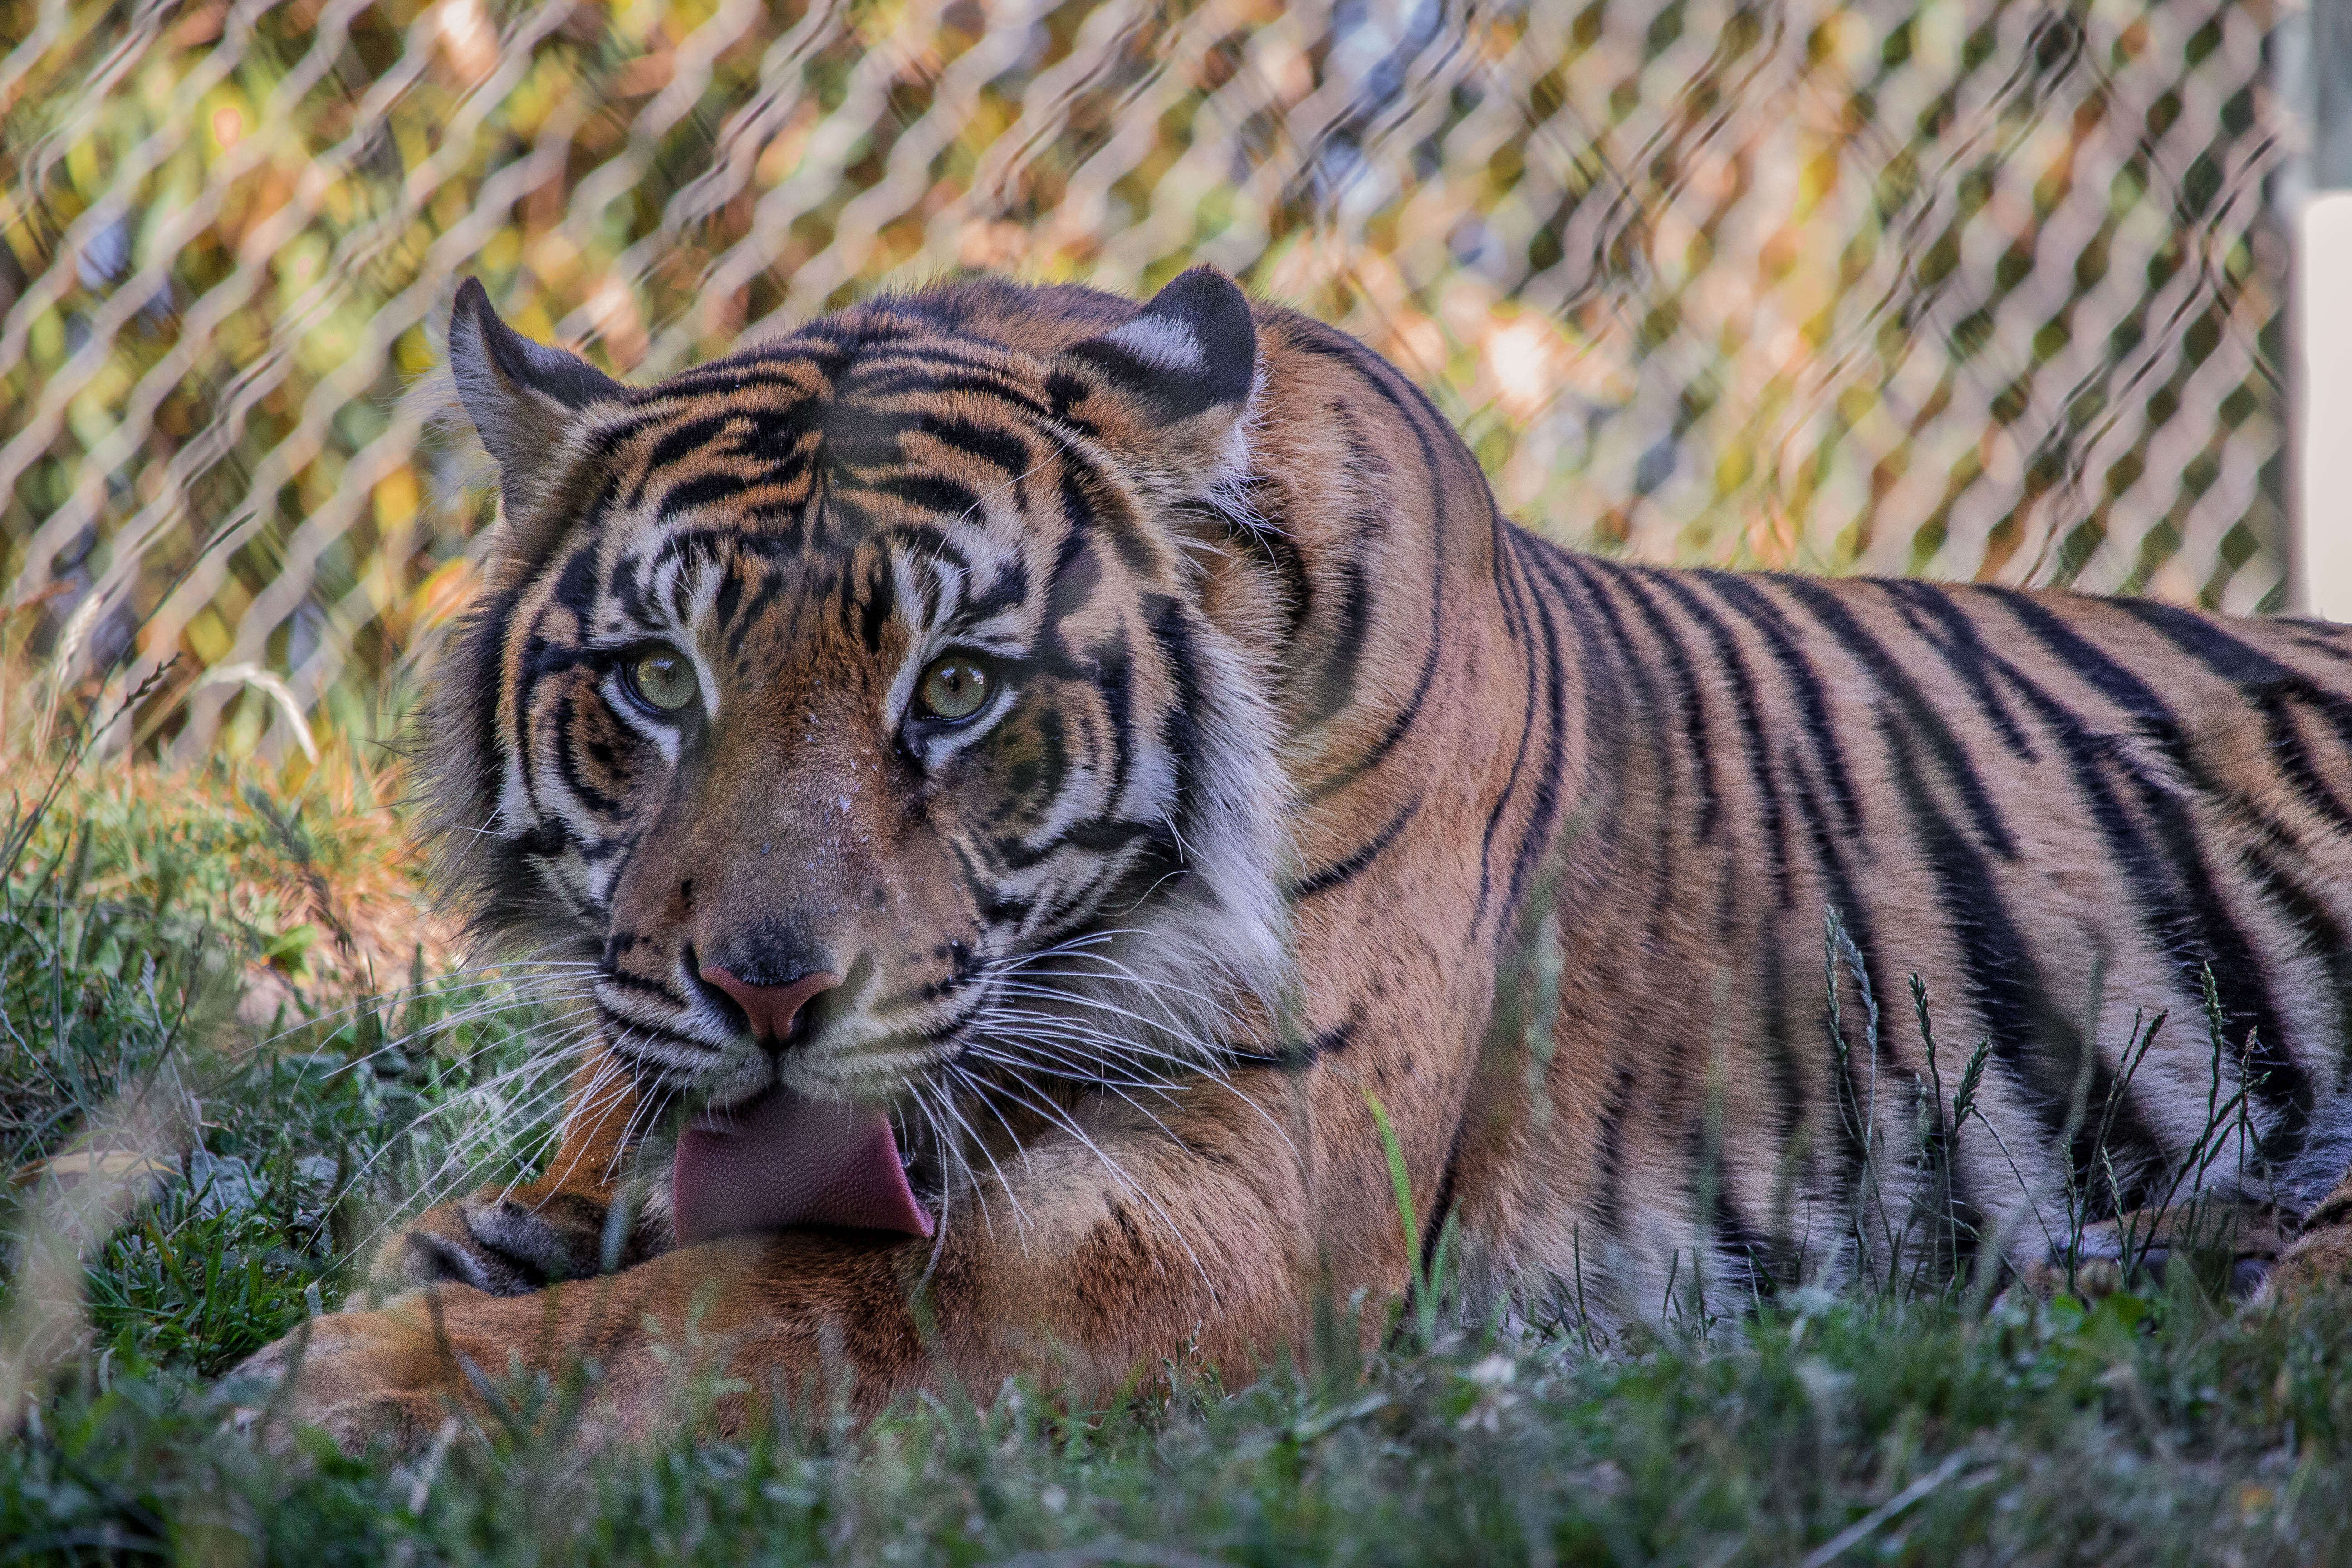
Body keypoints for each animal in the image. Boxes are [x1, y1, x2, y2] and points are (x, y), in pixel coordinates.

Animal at [234, 263, 2352, 1457]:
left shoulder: (1214, 1223)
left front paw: (336, 1385)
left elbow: (767, 1299)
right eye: (656, 679)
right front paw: (493, 1242)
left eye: (958, 687)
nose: (768, 994)